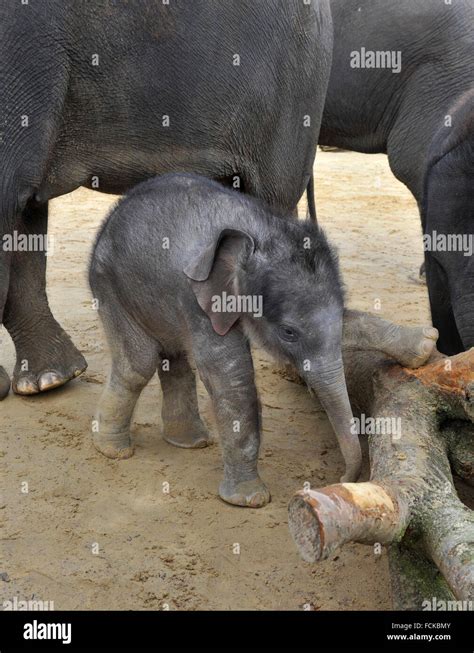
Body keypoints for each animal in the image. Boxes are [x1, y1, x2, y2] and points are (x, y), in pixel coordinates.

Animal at [90, 171, 362, 506]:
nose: (342, 478)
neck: (260, 231)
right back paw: (113, 450)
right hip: (110, 284)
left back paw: (189, 442)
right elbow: (230, 376)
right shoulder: (197, 295)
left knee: (174, 358)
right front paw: (250, 499)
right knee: (138, 365)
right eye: (289, 332)